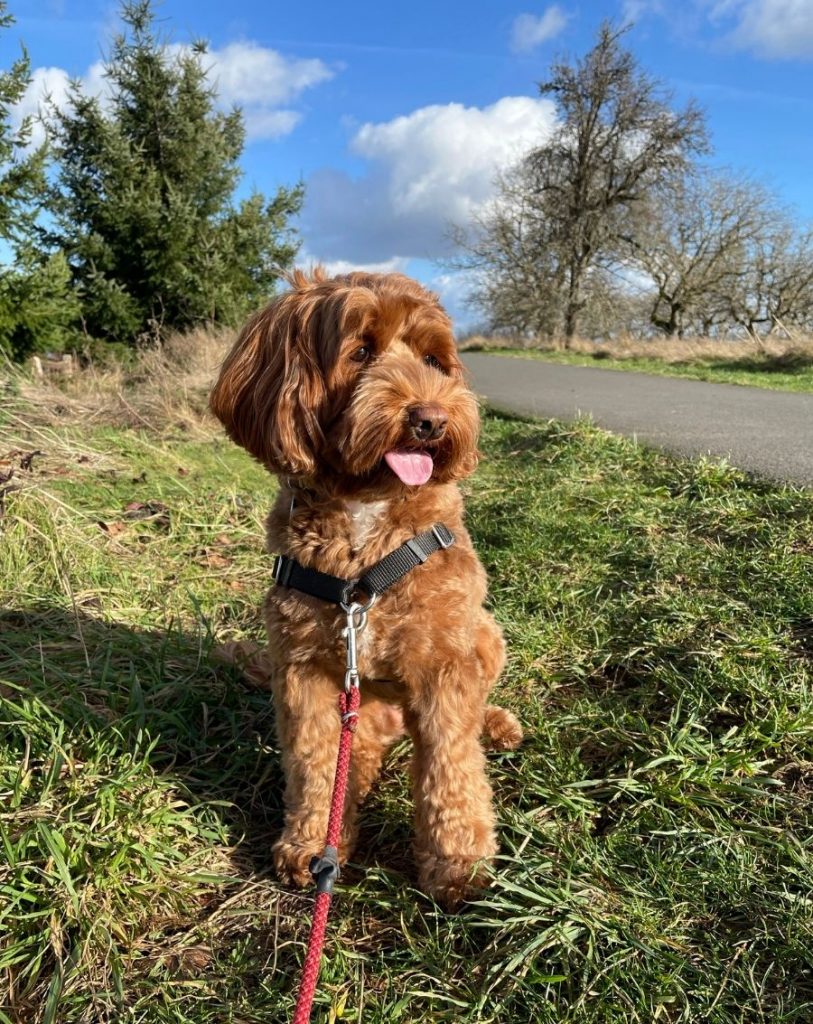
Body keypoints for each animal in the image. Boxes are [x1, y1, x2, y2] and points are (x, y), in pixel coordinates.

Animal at [208, 266, 520, 905]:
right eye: (361, 352)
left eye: (434, 358)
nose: (431, 420)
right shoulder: (304, 669)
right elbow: (314, 762)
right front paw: (311, 844)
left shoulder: (444, 662)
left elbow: (452, 763)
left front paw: (458, 863)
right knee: (356, 754)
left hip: (486, 634)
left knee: (473, 713)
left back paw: (496, 724)